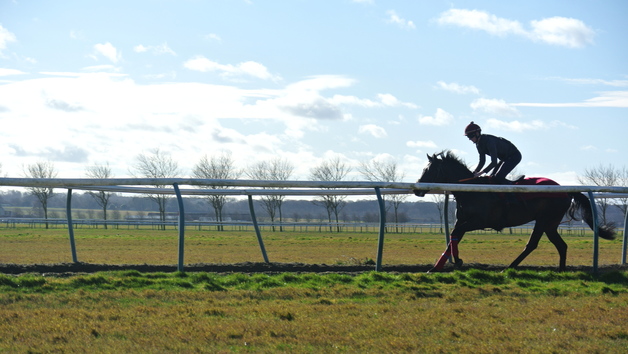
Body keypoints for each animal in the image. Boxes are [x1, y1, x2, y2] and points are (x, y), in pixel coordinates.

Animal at [414, 151, 616, 272]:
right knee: (561, 245)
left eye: (430, 170)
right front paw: (438, 266)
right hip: (550, 224)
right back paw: (560, 270)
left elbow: (456, 233)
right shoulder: (462, 220)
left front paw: (456, 261)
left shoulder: (479, 222)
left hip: (545, 220)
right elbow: (453, 236)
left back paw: (509, 268)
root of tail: (564, 190)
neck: (472, 191)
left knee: (532, 244)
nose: (417, 189)